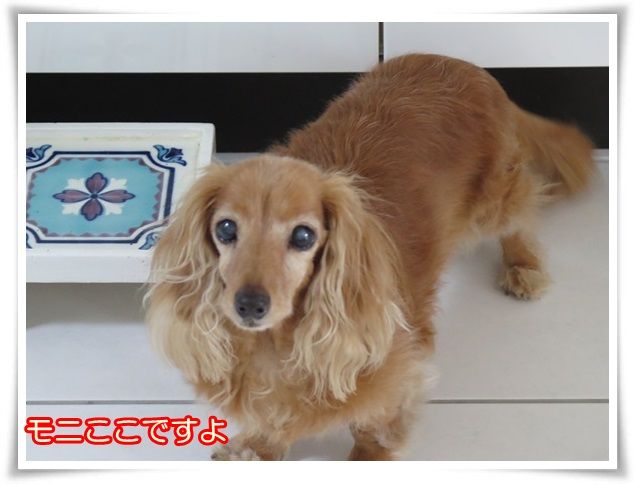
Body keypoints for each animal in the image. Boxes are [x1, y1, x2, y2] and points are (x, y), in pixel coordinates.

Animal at [145, 54, 594, 460]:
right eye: (225, 229)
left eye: (304, 236)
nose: (249, 305)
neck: (276, 347)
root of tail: (467, 66)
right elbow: (270, 421)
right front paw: (256, 449)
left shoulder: (397, 373)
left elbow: (374, 427)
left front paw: (366, 459)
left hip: (492, 200)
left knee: (523, 211)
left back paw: (523, 265)